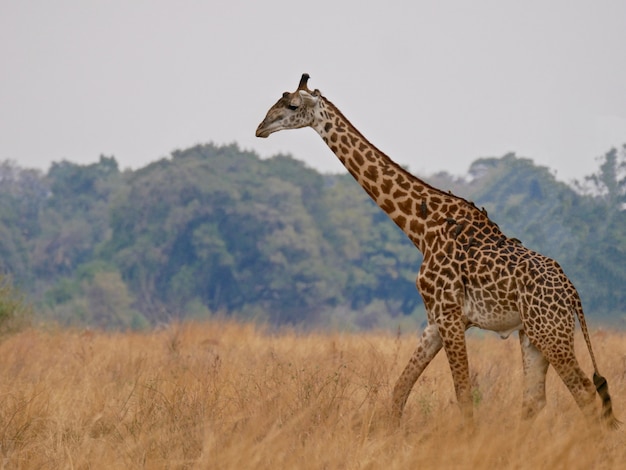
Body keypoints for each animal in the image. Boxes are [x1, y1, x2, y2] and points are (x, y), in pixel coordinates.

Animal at [255, 73, 620, 430]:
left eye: (292, 105)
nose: (260, 128)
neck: (421, 228)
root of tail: (572, 293)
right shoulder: (434, 319)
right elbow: (399, 390)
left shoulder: (450, 314)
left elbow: (463, 396)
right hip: (532, 334)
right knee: (535, 400)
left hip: (550, 331)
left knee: (584, 393)